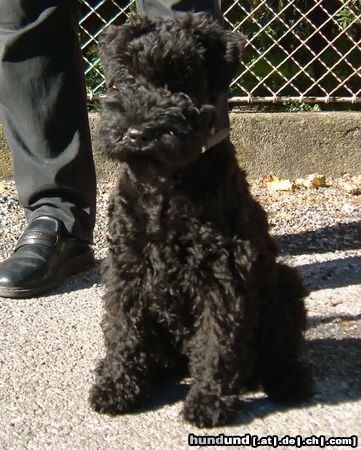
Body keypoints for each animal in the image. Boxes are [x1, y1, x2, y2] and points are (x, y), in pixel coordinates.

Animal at [88, 14, 310, 428]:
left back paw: (289, 381)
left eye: (183, 81)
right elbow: (123, 329)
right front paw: (116, 385)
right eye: (126, 78)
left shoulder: (223, 273)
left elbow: (216, 344)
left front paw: (209, 401)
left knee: (278, 350)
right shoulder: (127, 267)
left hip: (286, 282)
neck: (164, 184)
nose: (137, 133)